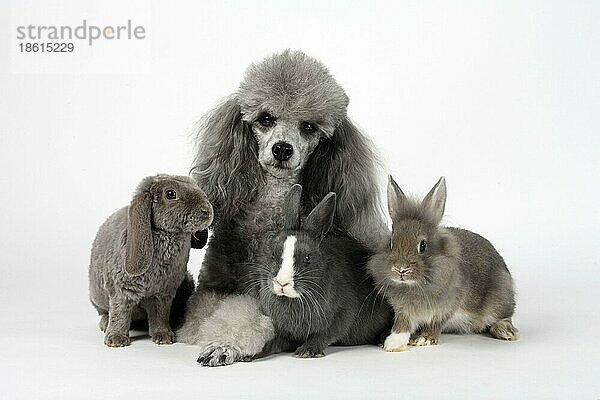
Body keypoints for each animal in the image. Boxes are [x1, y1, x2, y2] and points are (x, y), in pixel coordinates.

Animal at [88, 175, 212, 346]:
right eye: (171, 194)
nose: (207, 210)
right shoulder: (121, 292)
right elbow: (120, 313)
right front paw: (116, 340)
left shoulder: (163, 294)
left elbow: (160, 315)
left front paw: (164, 337)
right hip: (97, 297)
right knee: (106, 312)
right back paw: (105, 323)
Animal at [254, 185, 392, 360]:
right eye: (272, 253)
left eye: (307, 258)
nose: (282, 283)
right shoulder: (283, 332)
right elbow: (275, 342)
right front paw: (254, 354)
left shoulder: (342, 315)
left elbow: (325, 334)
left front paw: (307, 351)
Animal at [368, 177, 516, 352]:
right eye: (391, 242)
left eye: (423, 245)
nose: (401, 269)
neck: (415, 285)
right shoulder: (403, 310)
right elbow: (402, 324)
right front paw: (393, 343)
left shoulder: (446, 306)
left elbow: (435, 323)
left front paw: (425, 339)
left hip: (500, 297)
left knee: (504, 316)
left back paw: (505, 332)